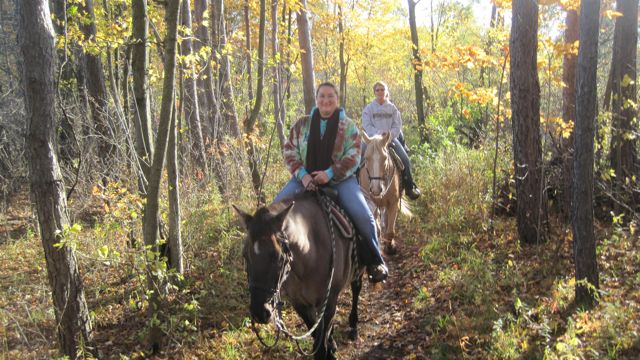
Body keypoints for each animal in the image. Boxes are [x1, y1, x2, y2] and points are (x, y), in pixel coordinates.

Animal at [235, 194, 364, 360]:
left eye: (278, 256)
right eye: (245, 255)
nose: (259, 312)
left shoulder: (329, 301)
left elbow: (320, 343)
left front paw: (328, 350)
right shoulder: (299, 303)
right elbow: (316, 333)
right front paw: (331, 347)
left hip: (358, 271)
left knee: (356, 289)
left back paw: (354, 326)